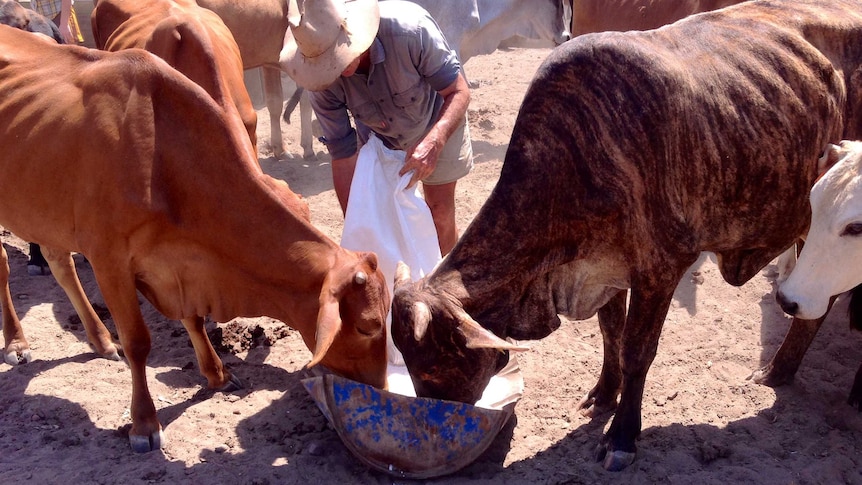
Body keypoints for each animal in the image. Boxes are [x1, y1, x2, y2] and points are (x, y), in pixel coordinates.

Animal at [0, 24, 388, 450]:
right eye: (367, 327)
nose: (381, 388)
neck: (162, 156)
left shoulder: (179, 263)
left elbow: (194, 319)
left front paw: (217, 375)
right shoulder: (108, 259)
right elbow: (138, 341)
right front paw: (144, 423)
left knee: (59, 262)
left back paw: (100, 341)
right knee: (7, 267)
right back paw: (17, 343)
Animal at [390, 0, 862, 468]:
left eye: (431, 365)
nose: (432, 421)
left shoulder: (660, 269)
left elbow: (637, 350)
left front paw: (621, 435)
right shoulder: (605, 268)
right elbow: (610, 334)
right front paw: (604, 393)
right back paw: (778, 371)